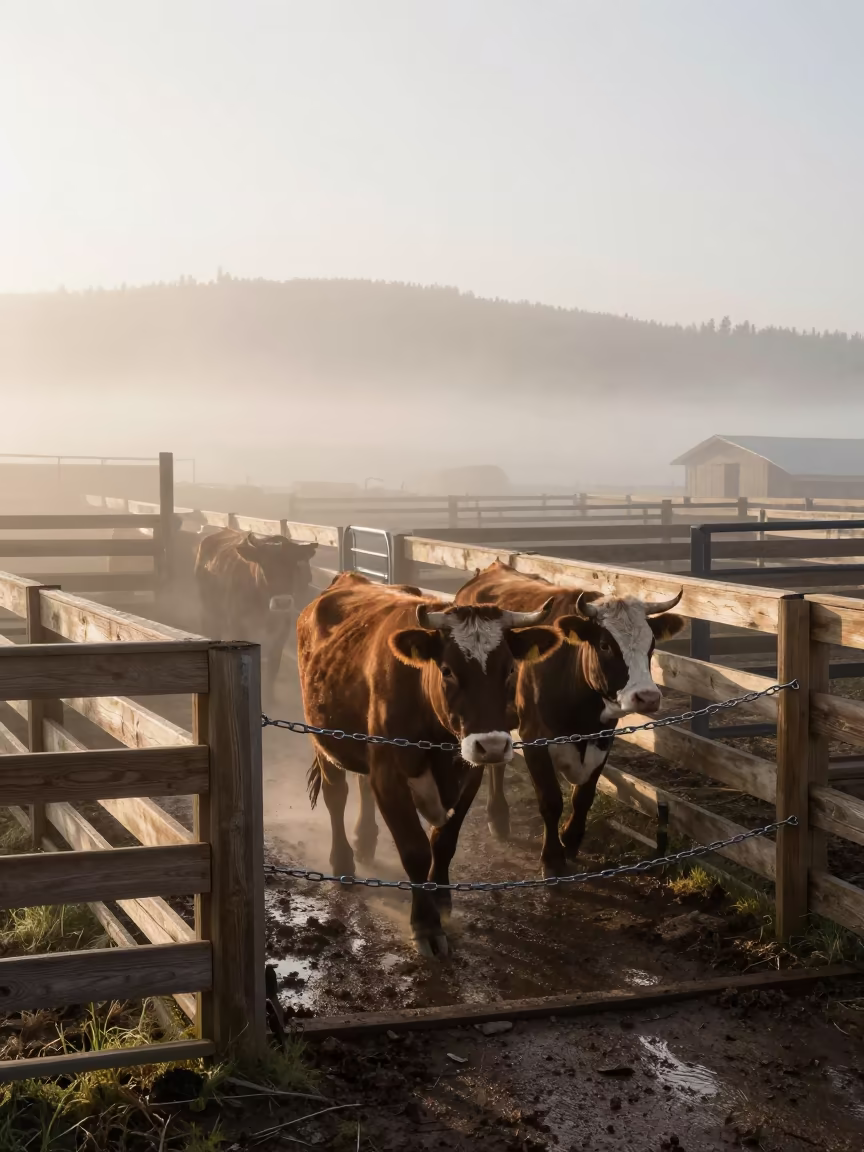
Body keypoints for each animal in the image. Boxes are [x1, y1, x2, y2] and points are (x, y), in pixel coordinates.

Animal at [195, 527, 317, 704]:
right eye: (265, 565)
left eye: (294, 565)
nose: (282, 602)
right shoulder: (239, 625)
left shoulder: (281, 631)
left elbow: (273, 666)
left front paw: (270, 699)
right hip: (208, 612)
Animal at [297, 571, 561, 957]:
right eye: (448, 670)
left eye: (510, 668)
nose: (492, 745)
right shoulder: (390, 775)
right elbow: (415, 849)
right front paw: (425, 925)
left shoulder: (469, 774)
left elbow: (444, 841)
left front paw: (441, 899)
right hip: (323, 739)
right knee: (336, 797)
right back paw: (344, 861)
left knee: (361, 788)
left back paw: (365, 839)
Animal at [455, 562, 685, 878]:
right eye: (605, 645)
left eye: (651, 645)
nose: (647, 697)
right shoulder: (533, 737)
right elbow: (550, 800)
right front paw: (552, 858)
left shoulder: (602, 738)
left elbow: (583, 795)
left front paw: (571, 840)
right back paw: (497, 817)